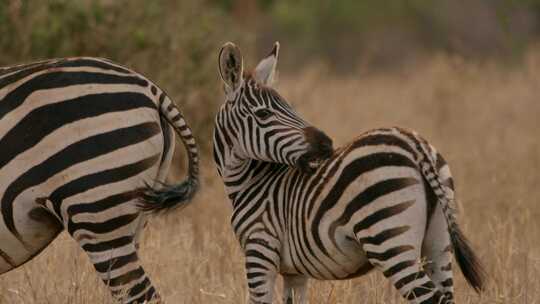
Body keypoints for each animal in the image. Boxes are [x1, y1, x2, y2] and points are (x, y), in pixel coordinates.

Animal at [214, 42, 486, 304]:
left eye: (289, 107)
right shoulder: (294, 272)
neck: (253, 181)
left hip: (389, 241)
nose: (326, 144)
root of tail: (413, 144)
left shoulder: (260, 248)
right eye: (263, 114)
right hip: (439, 242)